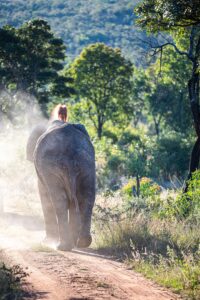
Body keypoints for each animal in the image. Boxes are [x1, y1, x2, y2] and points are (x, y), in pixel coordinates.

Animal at [26, 120, 95, 251]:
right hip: (87, 164)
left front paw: (46, 242)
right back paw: (82, 243)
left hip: (51, 167)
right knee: (86, 197)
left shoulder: (43, 172)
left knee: (59, 201)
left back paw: (62, 246)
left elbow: (44, 196)